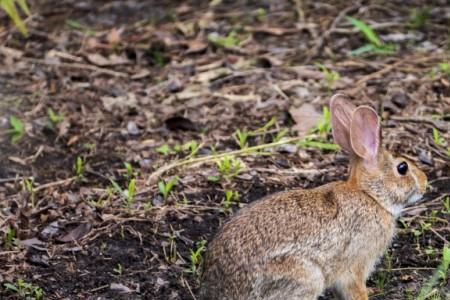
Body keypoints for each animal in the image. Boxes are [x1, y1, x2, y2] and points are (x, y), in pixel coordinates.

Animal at [200, 94, 426, 300]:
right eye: (402, 168)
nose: (425, 183)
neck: (371, 195)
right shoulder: (356, 264)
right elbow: (355, 288)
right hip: (306, 276)